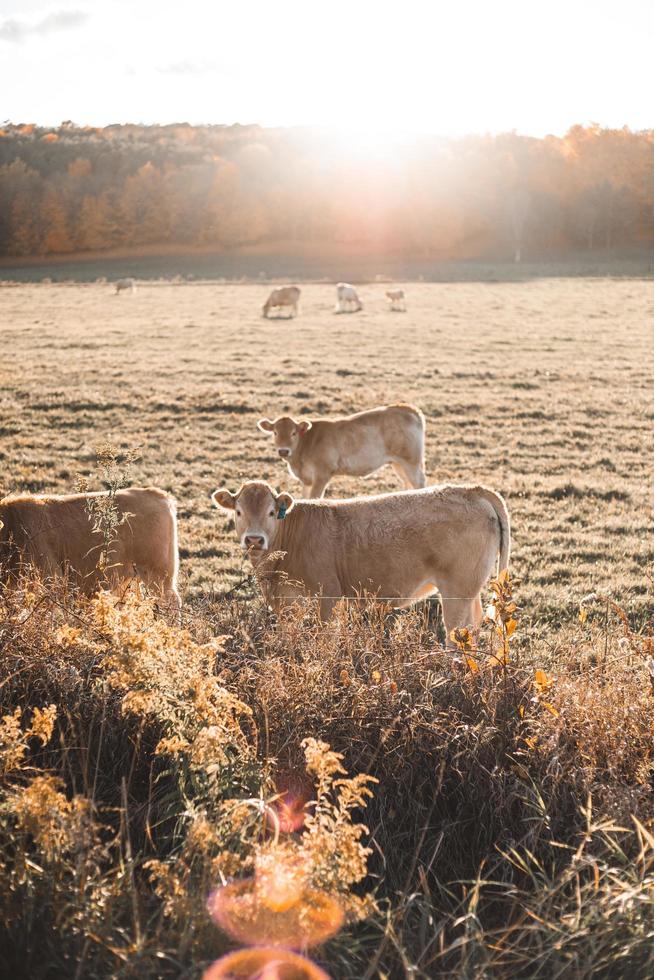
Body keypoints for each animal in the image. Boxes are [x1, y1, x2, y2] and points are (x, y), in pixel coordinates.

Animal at [213, 478, 510, 640]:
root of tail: (471, 490)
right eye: (238, 511)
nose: (254, 540)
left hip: (456, 590)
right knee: (473, 626)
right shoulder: (287, 603)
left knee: (457, 633)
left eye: (272, 512)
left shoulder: (328, 597)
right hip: (469, 591)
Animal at [258, 404, 428, 498]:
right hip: (398, 463)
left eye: (293, 433)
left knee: (419, 482)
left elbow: (313, 498)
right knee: (407, 482)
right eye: (275, 432)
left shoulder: (322, 474)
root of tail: (408, 408)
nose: (283, 451)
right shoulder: (306, 479)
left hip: (410, 461)